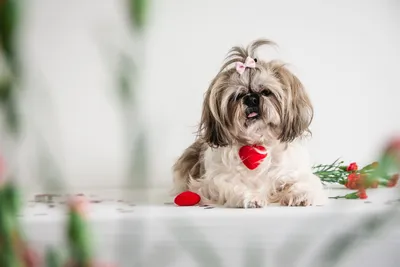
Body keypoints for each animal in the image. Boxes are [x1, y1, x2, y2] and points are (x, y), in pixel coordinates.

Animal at [171, 38, 324, 208]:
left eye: (266, 92)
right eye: (237, 96)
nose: (251, 98)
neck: (258, 142)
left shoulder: (294, 171)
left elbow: (306, 182)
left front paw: (300, 195)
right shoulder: (215, 180)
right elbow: (233, 185)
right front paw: (252, 197)